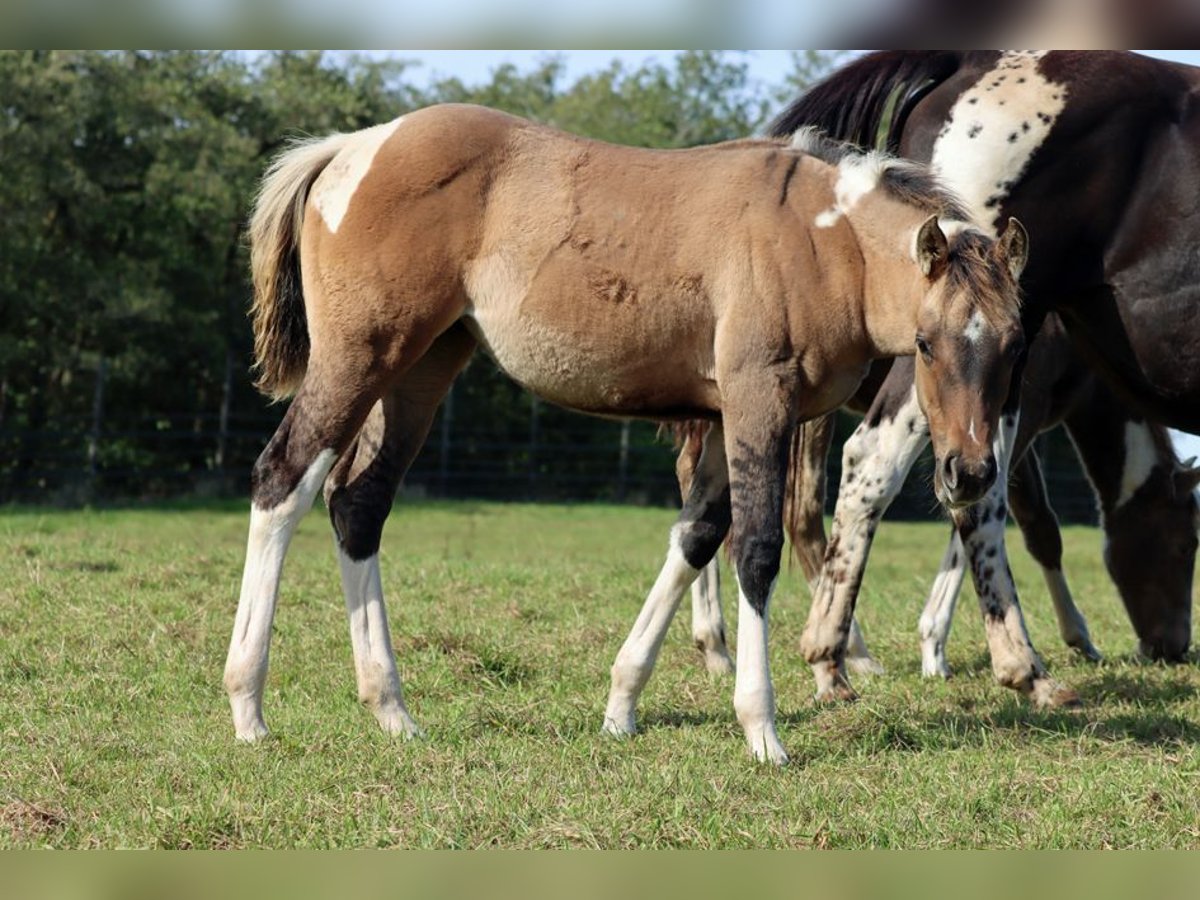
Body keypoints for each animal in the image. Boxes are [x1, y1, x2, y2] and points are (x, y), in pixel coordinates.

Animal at [225, 103, 1027, 764]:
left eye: (1014, 344)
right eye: (924, 344)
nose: (968, 474)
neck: (821, 241)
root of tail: (353, 146)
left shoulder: (727, 419)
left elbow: (694, 539)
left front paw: (621, 705)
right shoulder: (756, 402)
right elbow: (755, 552)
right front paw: (761, 728)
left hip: (422, 368)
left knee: (359, 505)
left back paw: (391, 709)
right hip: (359, 360)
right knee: (282, 480)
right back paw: (249, 708)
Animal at [678, 314, 1199, 681]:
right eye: (1185, 546)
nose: (1173, 648)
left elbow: (1037, 526)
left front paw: (1076, 636)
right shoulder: (1018, 416)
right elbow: (995, 520)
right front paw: (936, 646)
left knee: (697, 481)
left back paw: (716, 645)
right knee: (801, 511)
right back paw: (852, 651)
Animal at [759, 50, 1200, 704]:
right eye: (1184, 542)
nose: (1171, 647)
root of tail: (970, 60)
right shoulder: (1022, 414)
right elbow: (1022, 521)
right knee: (873, 467)